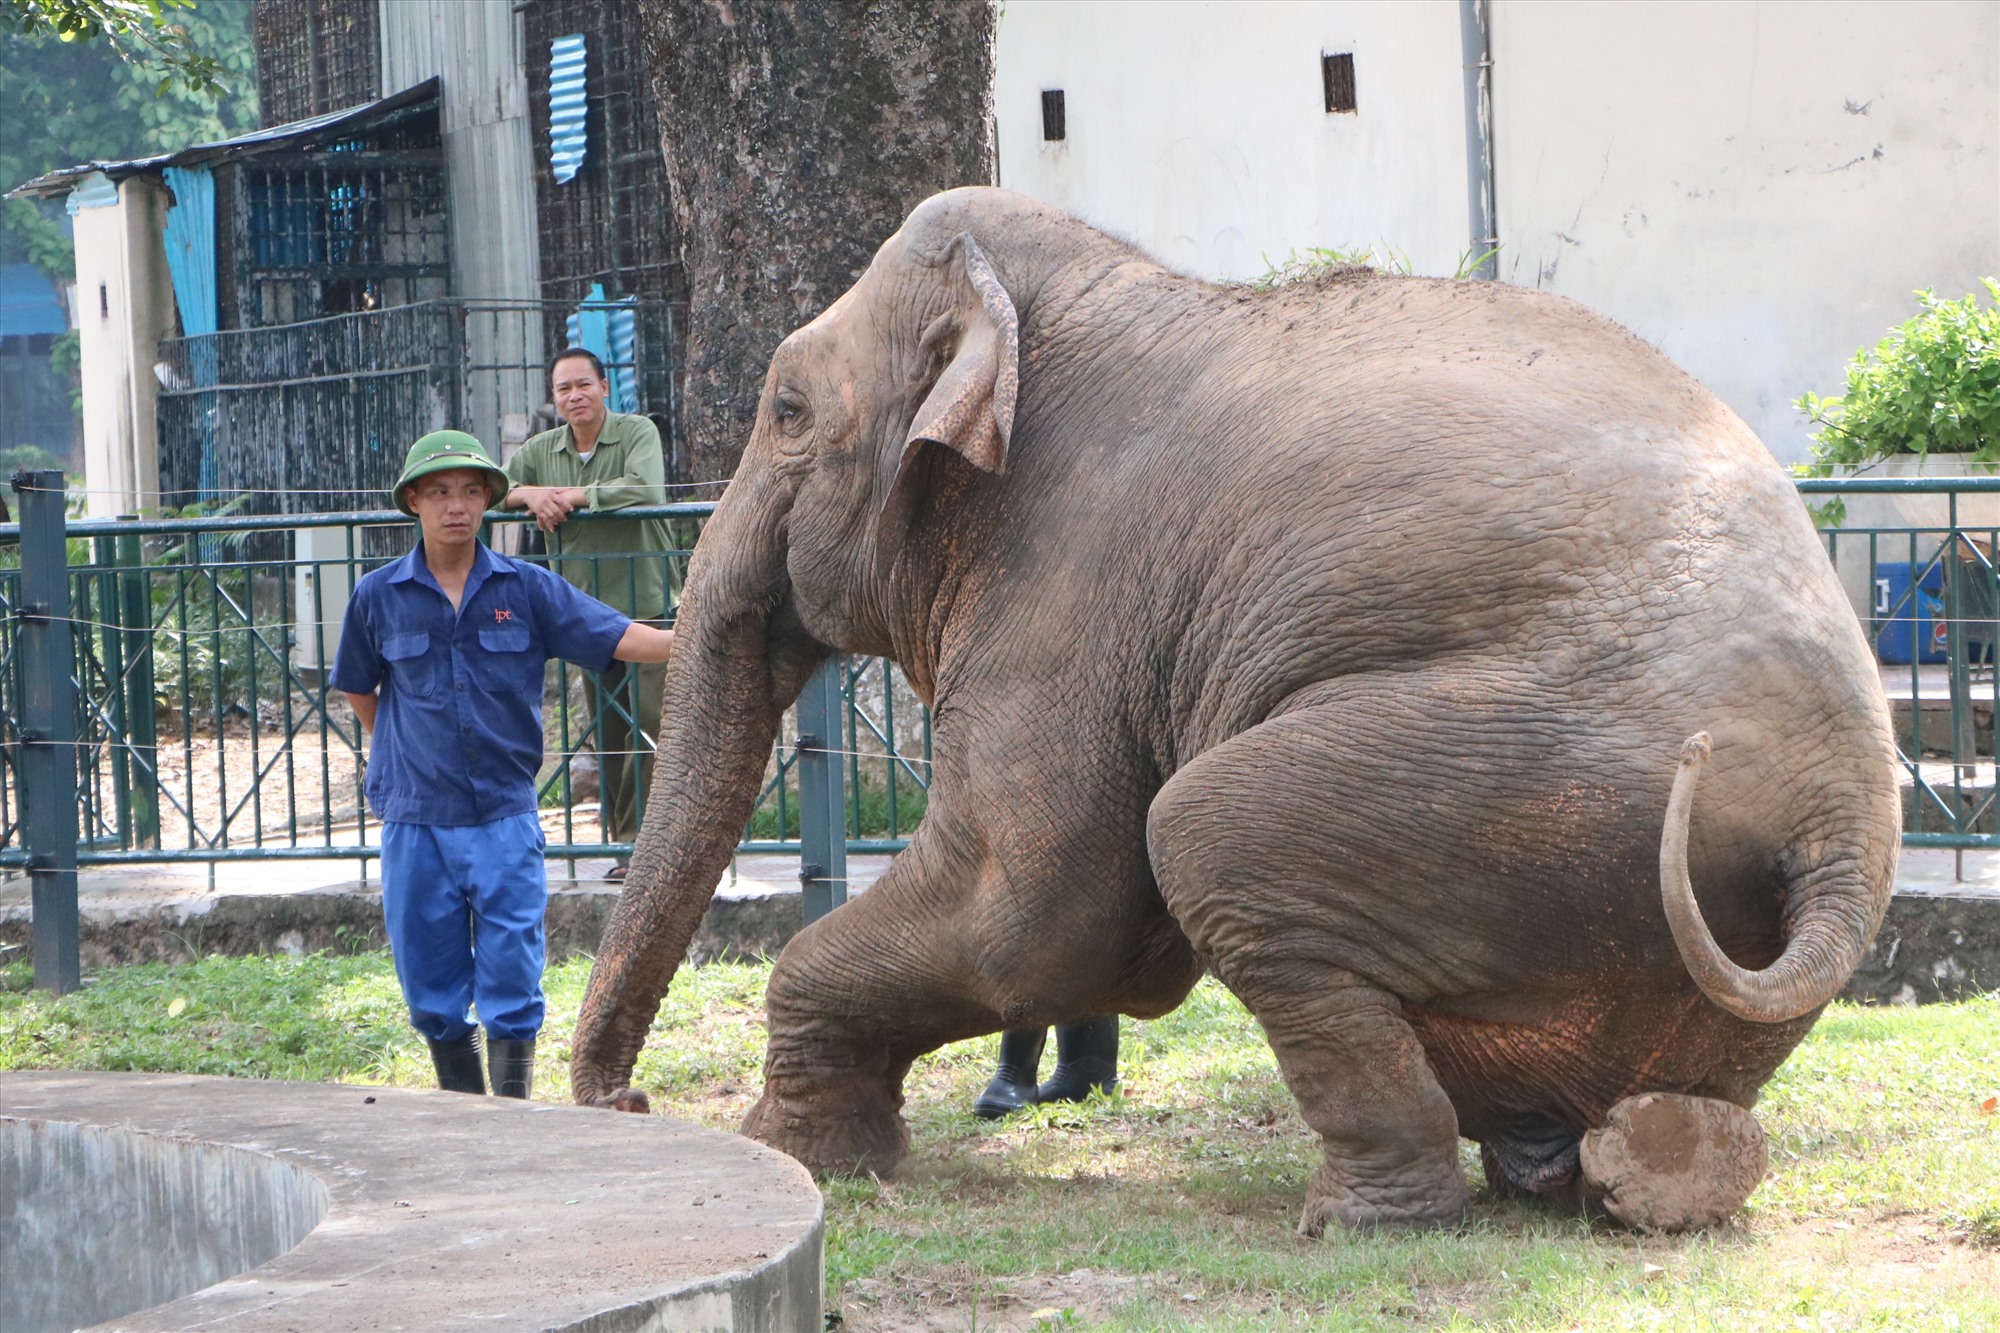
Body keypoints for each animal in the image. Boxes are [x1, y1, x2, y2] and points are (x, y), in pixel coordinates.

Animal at [572, 182, 1896, 1232]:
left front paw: (789, 1148)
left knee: (1205, 831)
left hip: (1530, 775)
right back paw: (1626, 1170)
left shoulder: (1069, 590)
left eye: (786, 412)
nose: (625, 1097)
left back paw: (1358, 1219)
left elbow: (1034, 917)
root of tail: (1833, 829)